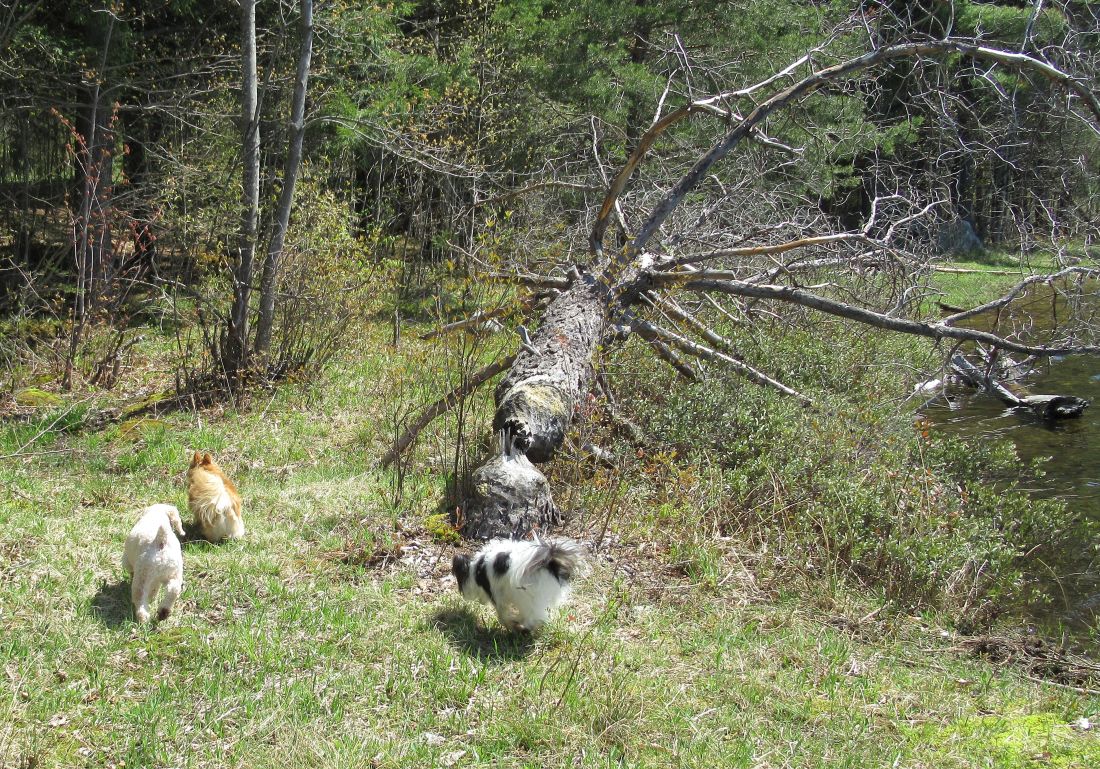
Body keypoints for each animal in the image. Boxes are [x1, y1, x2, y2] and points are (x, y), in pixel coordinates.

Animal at [452, 536, 585, 632]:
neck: (476, 569)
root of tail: (549, 563)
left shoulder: (497, 597)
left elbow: (503, 616)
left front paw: (511, 625)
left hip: (526, 597)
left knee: (532, 618)